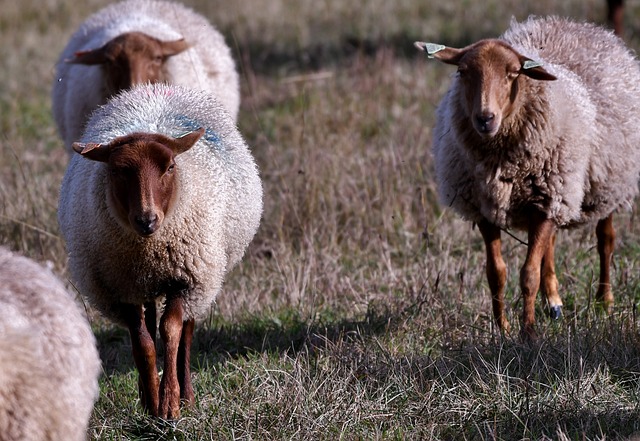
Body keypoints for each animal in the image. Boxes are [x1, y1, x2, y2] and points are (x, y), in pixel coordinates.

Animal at [58, 83, 262, 420]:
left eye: (170, 167)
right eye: (117, 172)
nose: (147, 219)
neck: (148, 248)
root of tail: (155, 88)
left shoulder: (188, 279)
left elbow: (171, 331)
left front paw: (170, 404)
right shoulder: (121, 288)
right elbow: (143, 343)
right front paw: (152, 402)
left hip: (203, 277)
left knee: (186, 331)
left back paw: (187, 394)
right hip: (145, 283)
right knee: (150, 322)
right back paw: (146, 392)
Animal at [412, 16, 640, 340]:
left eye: (513, 73)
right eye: (462, 72)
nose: (485, 119)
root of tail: (577, 25)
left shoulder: (546, 202)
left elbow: (528, 274)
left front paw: (528, 333)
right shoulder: (489, 208)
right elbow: (496, 273)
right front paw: (502, 328)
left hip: (607, 180)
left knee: (605, 239)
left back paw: (603, 300)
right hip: (556, 192)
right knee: (550, 244)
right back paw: (553, 301)